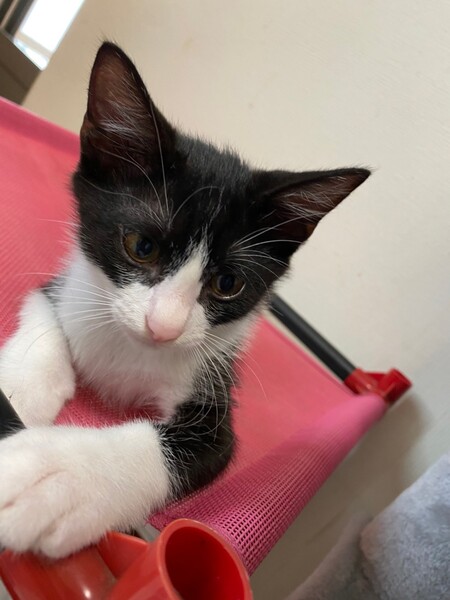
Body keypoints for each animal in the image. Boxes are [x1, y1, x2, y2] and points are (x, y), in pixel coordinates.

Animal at [0, 42, 369, 558]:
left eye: (228, 283)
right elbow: (43, 313)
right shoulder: (69, 284)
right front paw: (21, 389)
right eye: (142, 247)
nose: (165, 327)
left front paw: (53, 476)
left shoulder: (215, 397)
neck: (130, 352)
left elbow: (171, 448)